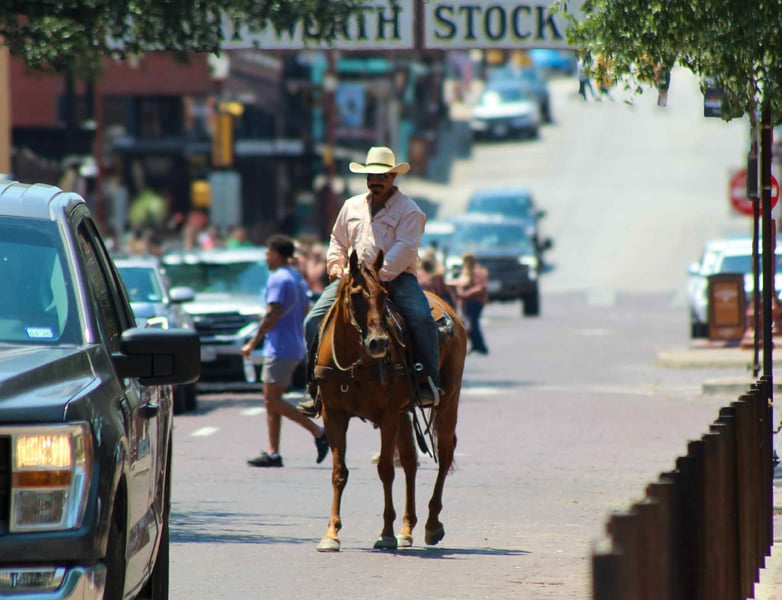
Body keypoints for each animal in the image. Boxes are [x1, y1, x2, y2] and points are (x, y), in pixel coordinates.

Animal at [312, 250, 467, 552]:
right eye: (355, 295)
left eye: (384, 295)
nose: (379, 343)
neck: (355, 363)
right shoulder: (334, 415)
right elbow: (339, 471)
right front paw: (331, 534)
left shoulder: (387, 416)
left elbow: (385, 469)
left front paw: (385, 533)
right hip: (404, 413)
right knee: (409, 461)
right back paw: (407, 528)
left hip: (447, 402)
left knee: (444, 454)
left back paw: (432, 525)